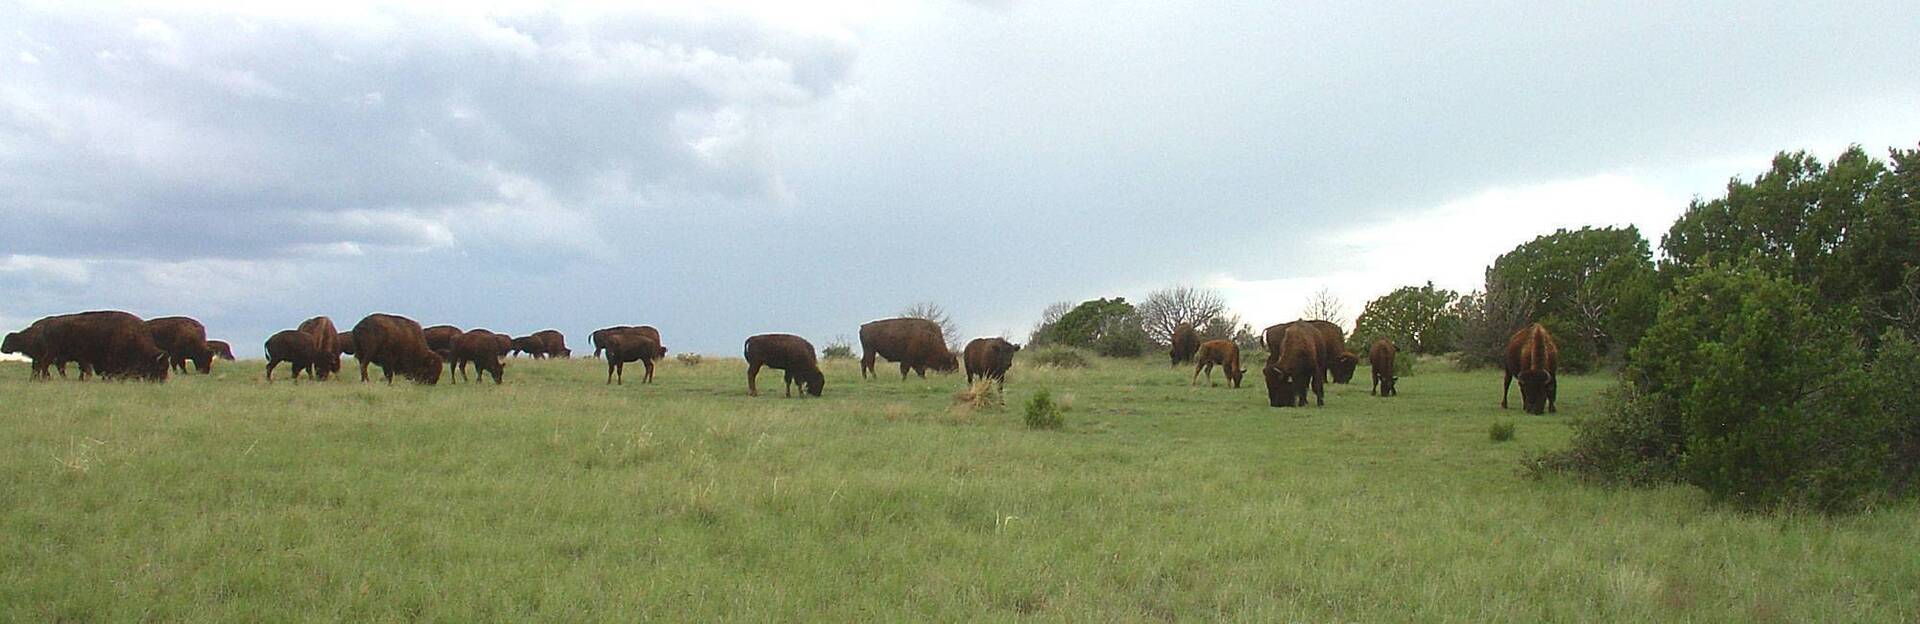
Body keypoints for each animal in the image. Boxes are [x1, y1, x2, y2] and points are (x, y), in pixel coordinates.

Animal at [40, 311, 169, 381]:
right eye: (161, 367)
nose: (162, 381)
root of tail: (50, 324)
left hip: (61, 356)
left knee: (58, 367)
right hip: (53, 352)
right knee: (46, 364)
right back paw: (46, 378)